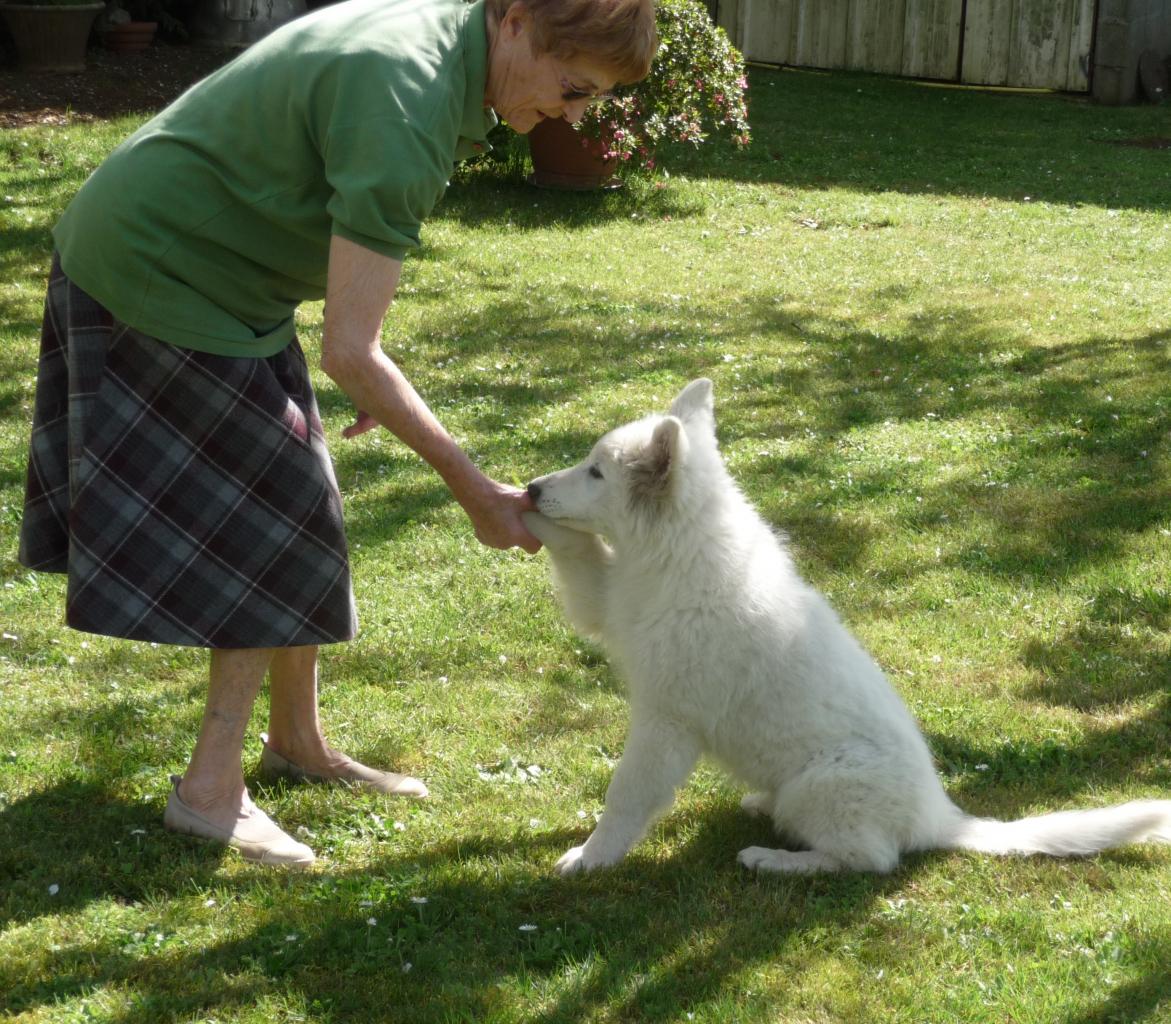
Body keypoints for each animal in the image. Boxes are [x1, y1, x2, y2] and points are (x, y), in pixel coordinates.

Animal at [526, 379, 1171, 871]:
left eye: (596, 473)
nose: (533, 488)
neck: (676, 555)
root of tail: (941, 818)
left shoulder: (667, 721)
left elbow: (625, 795)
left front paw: (589, 858)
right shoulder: (607, 602)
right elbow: (577, 552)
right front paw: (524, 514)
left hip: (821, 785)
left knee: (867, 860)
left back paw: (775, 859)